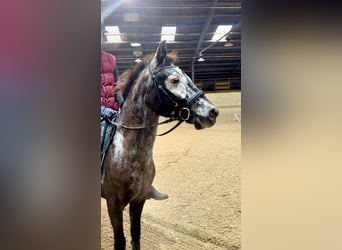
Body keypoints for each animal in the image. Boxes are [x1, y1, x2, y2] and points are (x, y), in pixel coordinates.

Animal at [101, 41, 219, 250]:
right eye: (174, 80)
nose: (212, 112)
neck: (126, 151)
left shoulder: (138, 201)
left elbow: (136, 236)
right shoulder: (113, 204)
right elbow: (120, 242)